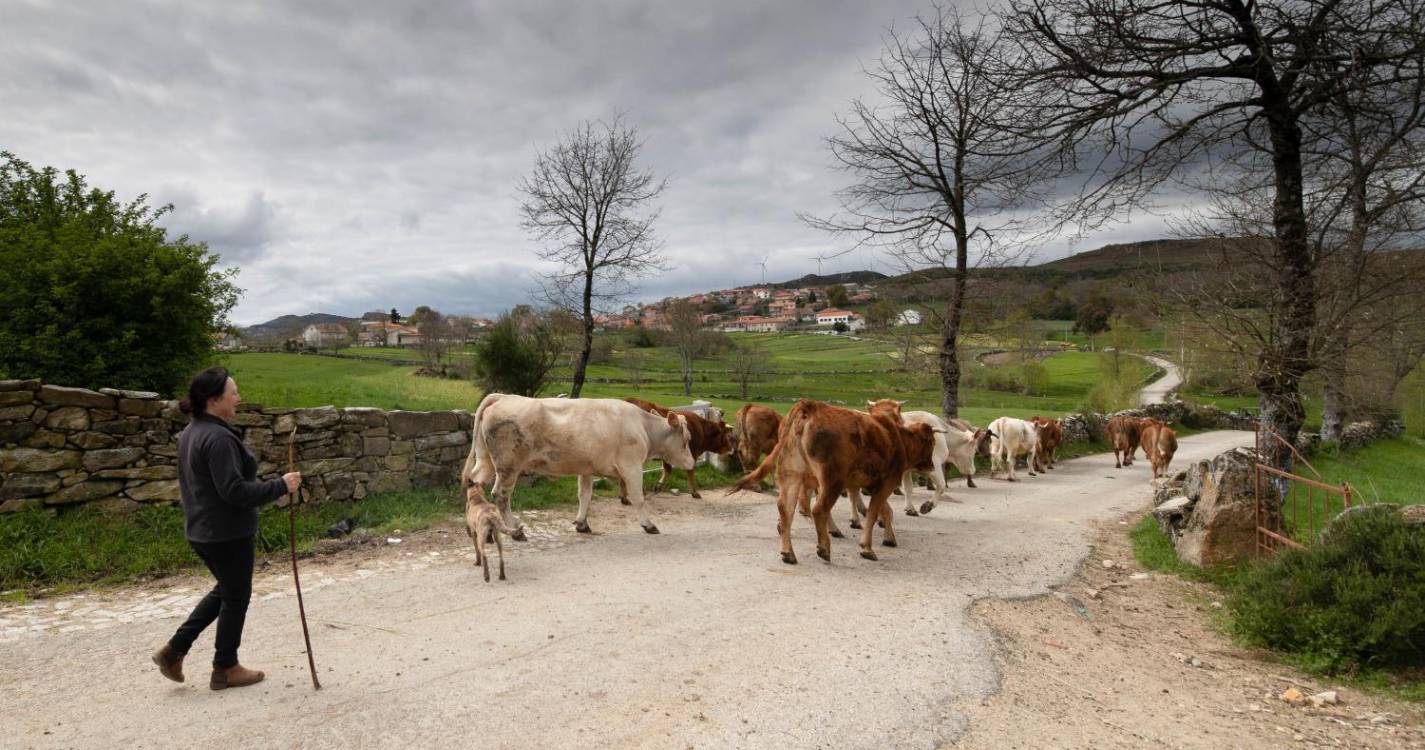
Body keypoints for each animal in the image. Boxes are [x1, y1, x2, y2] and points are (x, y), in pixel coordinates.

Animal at [735, 399, 946, 564]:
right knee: (819, 509)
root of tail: (811, 406)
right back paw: (824, 547)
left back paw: (788, 553)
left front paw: (889, 537)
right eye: (932, 442)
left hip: (792, 475)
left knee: (786, 509)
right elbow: (874, 513)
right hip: (831, 480)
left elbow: (885, 511)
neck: (896, 438)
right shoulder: (885, 484)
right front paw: (867, 547)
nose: (931, 465)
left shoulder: (871, 485)